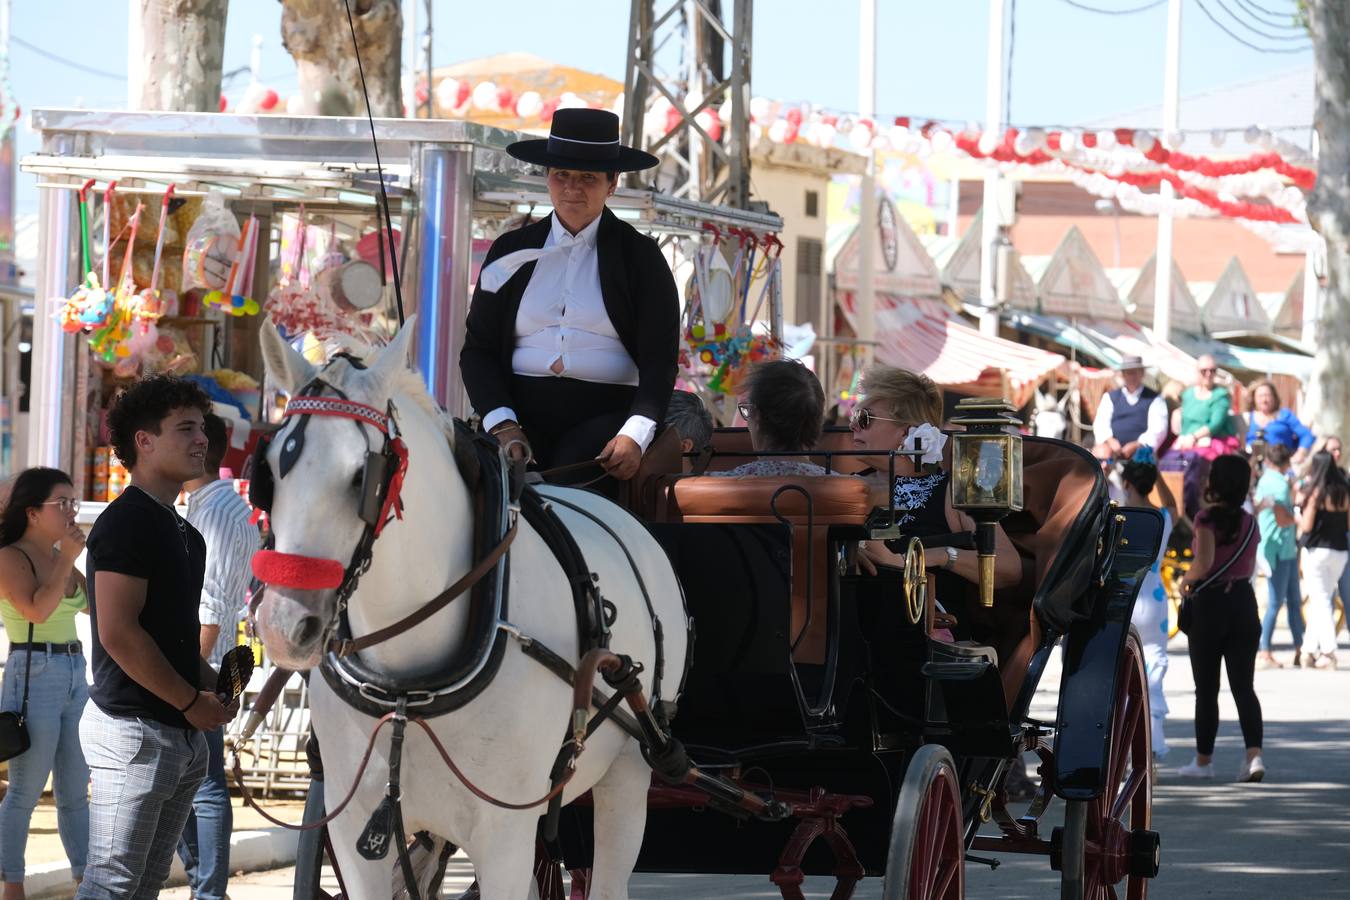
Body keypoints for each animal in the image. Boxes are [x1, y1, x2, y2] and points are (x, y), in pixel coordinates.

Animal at [255, 319, 685, 895]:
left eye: (361, 477)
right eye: (270, 472)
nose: (283, 625)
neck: (407, 690)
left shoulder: (505, 832)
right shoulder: (351, 833)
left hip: (629, 775)